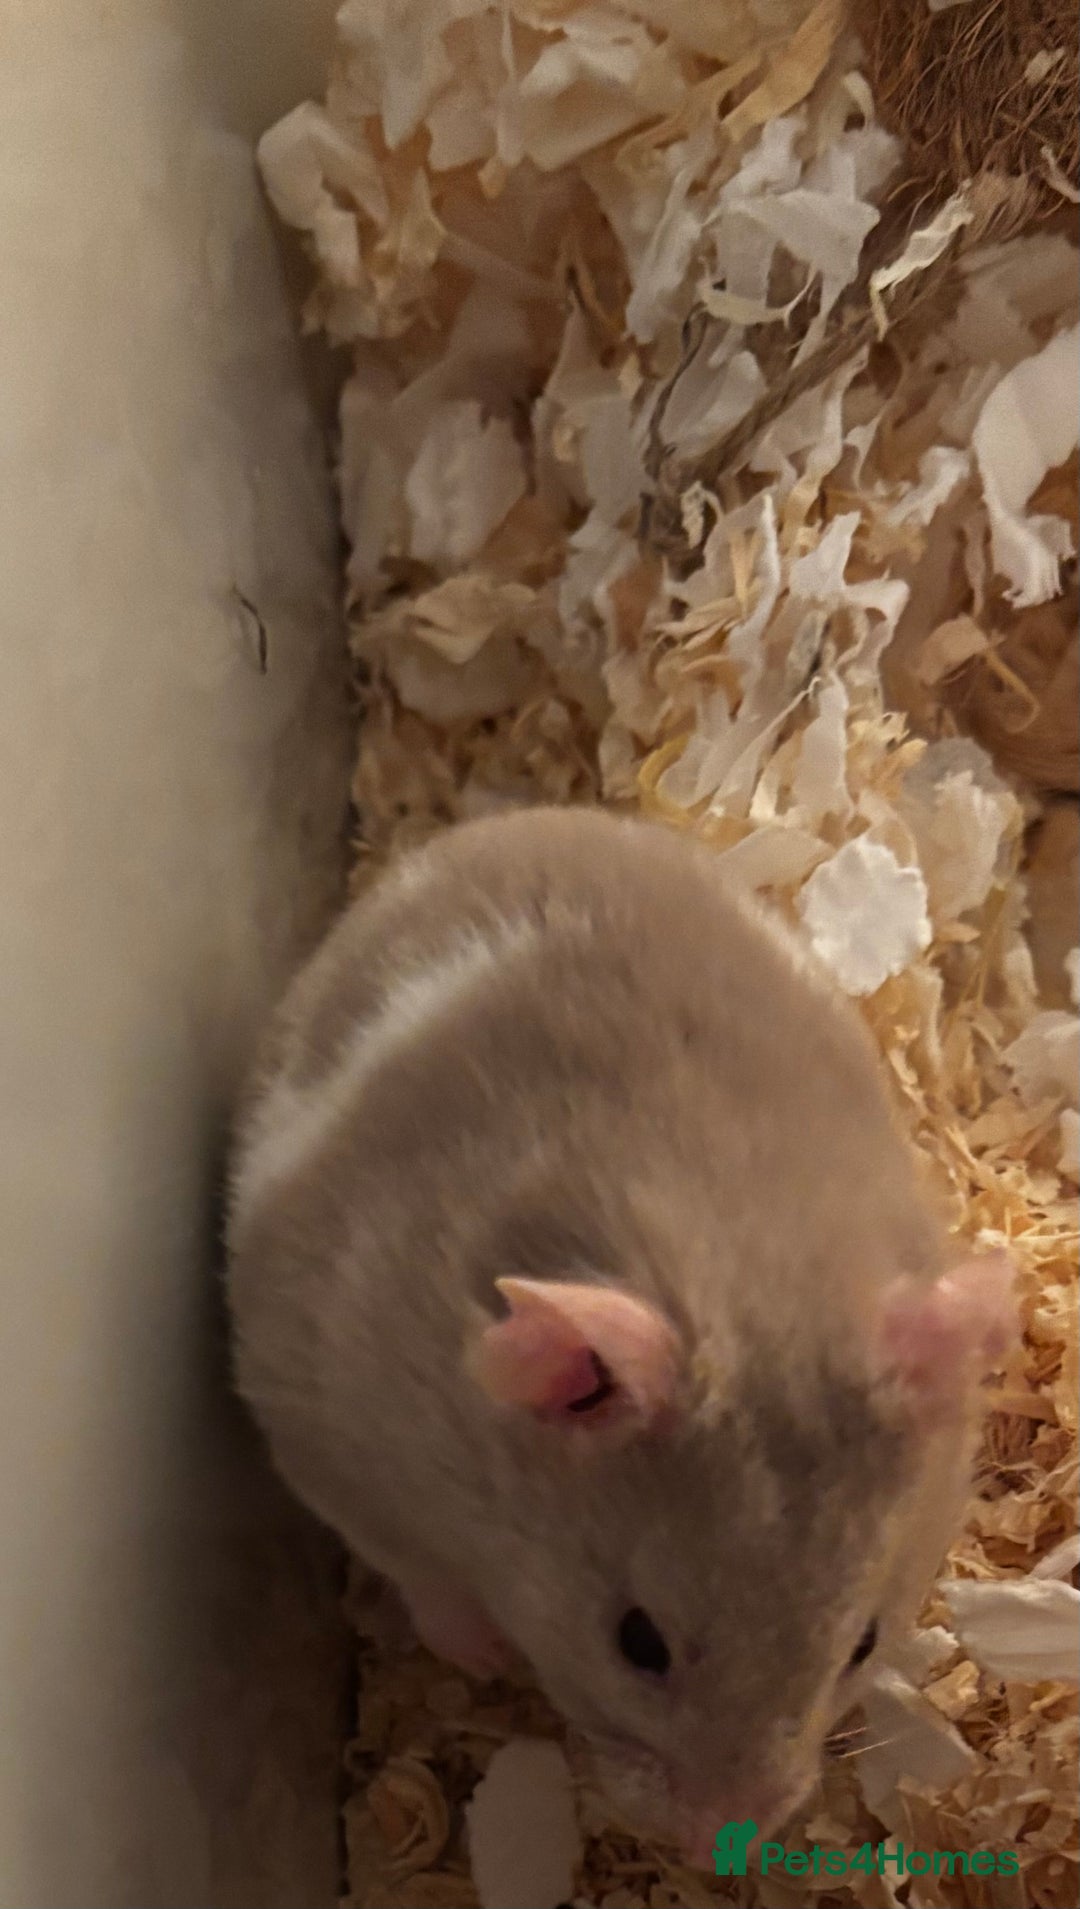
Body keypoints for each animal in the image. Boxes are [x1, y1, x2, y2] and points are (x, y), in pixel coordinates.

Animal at [226, 805, 1013, 1866]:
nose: (722, 1836)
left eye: (863, 1642)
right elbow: (422, 1572)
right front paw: (480, 1654)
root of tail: (507, 820)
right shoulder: (333, 1432)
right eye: (636, 1640)